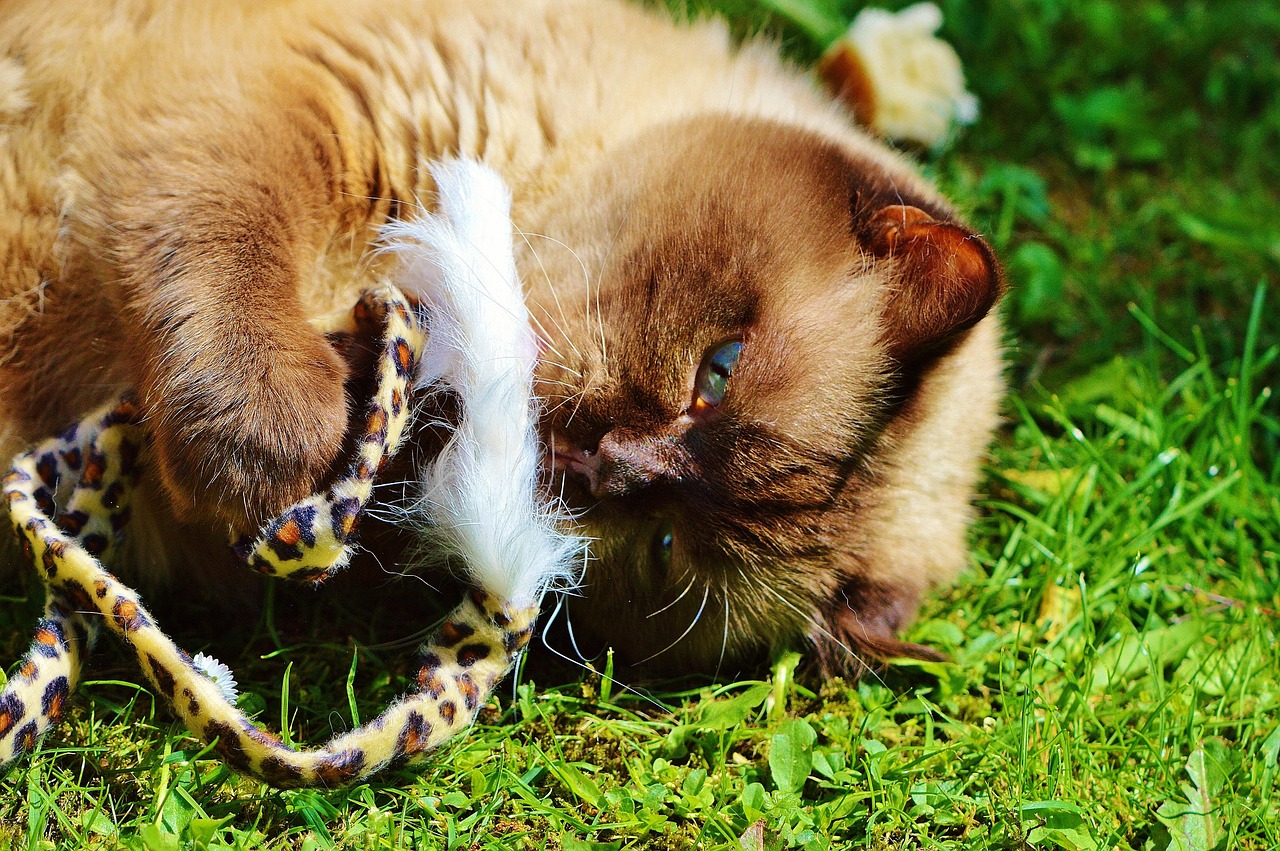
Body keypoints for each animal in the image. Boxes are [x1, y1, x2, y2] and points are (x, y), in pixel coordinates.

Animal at [0, 0, 998, 675]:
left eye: (665, 546)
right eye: (717, 373)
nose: (608, 466)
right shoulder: (300, 104)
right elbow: (225, 256)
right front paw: (289, 446)